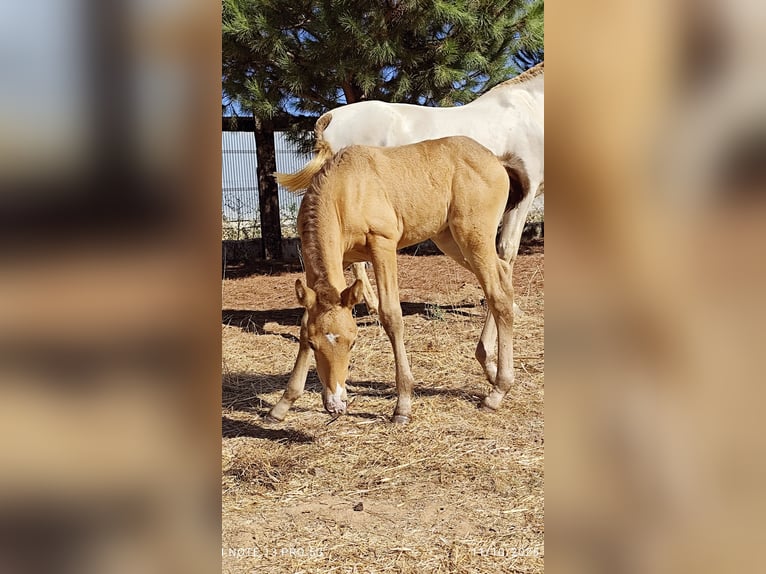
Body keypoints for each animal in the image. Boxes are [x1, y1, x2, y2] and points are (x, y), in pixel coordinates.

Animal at [266, 136, 531, 424]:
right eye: (314, 344)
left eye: (353, 342)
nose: (336, 405)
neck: (345, 190)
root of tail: (497, 160)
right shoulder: (339, 262)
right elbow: (305, 321)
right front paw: (282, 405)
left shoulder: (383, 244)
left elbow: (391, 315)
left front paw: (402, 405)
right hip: (449, 238)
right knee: (502, 276)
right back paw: (489, 366)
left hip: (473, 235)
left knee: (498, 294)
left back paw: (497, 392)